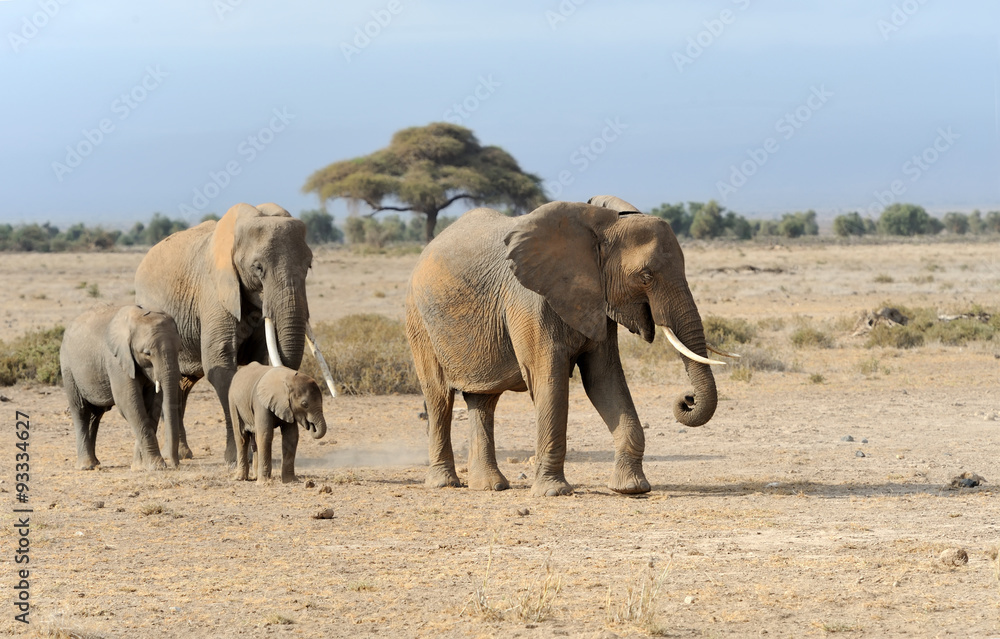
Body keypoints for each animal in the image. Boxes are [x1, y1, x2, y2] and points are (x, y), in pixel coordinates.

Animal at [59, 305, 183, 470]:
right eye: (147, 353)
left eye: (180, 350)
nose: (175, 465)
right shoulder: (116, 360)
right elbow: (129, 403)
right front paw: (157, 466)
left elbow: (153, 405)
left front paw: (140, 466)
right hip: (68, 367)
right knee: (81, 410)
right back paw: (86, 466)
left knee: (95, 415)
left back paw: (95, 463)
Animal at [134, 202, 323, 466]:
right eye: (258, 268)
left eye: (309, 266)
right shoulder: (214, 291)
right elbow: (221, 365)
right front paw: (236, 459)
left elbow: (259, 361)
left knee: (182, 385)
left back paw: (184, 453)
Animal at [405, 196, 725, 497]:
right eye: (646, 276)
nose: (687, 399)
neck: (600, 225)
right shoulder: (529, 301)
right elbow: (549, 381)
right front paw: (554, 492)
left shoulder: (597, 298)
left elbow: (604, 380)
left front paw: (631, 488)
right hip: (419, 321)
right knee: (438, 396)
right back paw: (444, 483)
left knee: (482, 400)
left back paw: (490, 486)